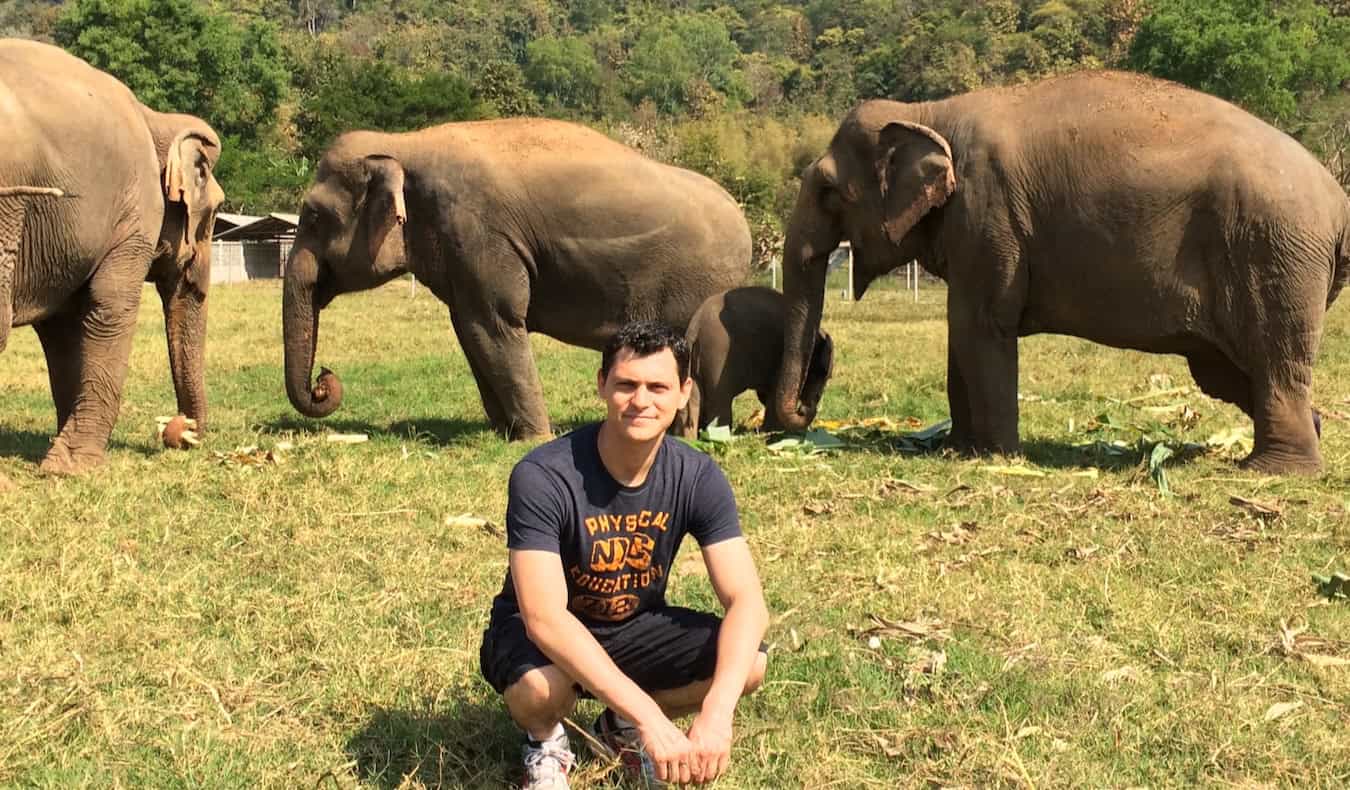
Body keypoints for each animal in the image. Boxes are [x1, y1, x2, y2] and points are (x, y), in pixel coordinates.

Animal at [0, 40, 221, 472]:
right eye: (215, 214)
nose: (180, 431)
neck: (155, 118)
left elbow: (62, 328)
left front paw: (61, 453)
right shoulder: (134, 213)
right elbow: (110, 307)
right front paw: (71, 467)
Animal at [286, 118, 756, 437]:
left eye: (314, 216)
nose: (325, 379)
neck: (404, 142)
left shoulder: (480, 234)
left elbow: (495, 324)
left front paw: (534, 438)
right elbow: (471, 331)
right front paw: (504, 432)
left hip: (699, 288)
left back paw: (684, 435)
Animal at [675, 284, 831, 437]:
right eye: (822, 373)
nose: (805, 409)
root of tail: (695, 327)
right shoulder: (778, 357)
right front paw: (775, 433)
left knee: (693, 402)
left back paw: (690, 440)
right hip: (717, 357)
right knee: (719, 401)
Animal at [772, 69, 1350, 475]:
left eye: (828, 191)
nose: (807, 400)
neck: (930, 112)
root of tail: (1338, 201)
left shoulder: (989, 215)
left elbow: (981, 325)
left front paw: (996, 458)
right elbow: (962, 332)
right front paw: (958, 450)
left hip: (1274, 254)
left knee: (1274, 361)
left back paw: (1273, 471)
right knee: (1229, 370)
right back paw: (1309, 433)